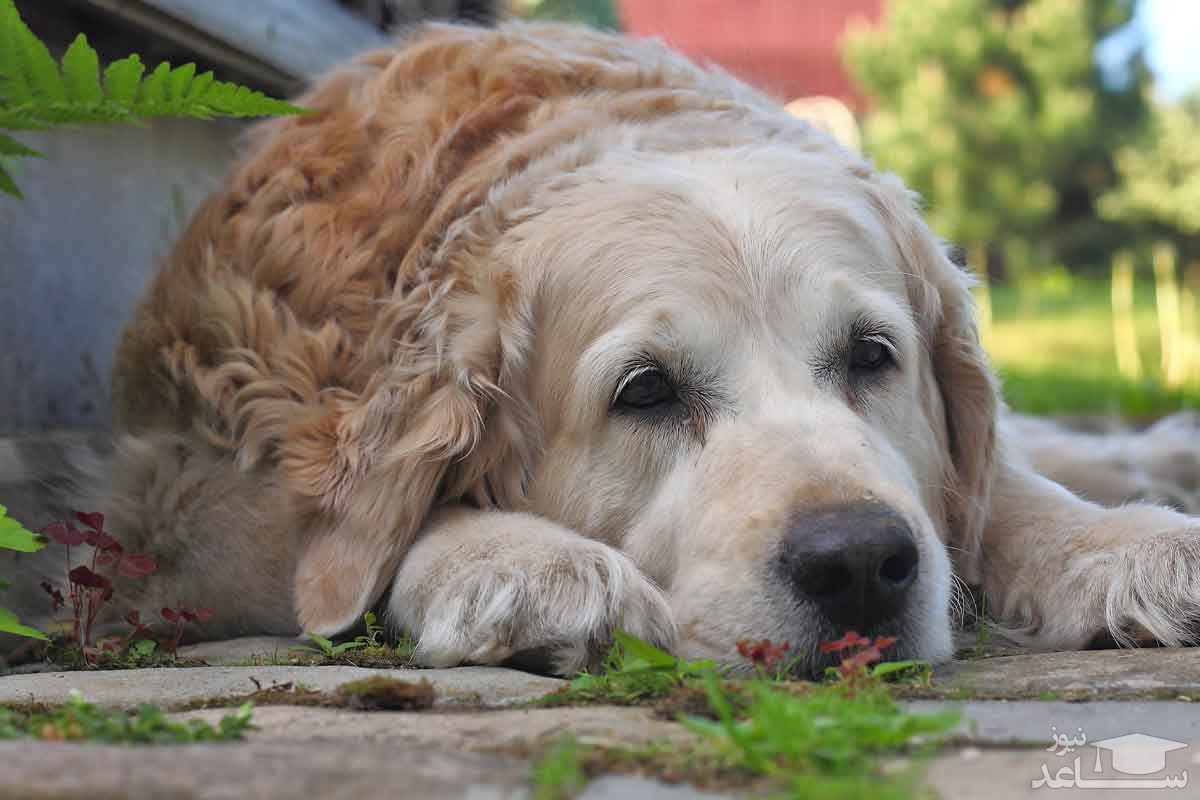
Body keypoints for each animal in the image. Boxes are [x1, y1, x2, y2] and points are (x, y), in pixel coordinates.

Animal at [2, 23, 1200, 676]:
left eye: (872, 357)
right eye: (646, 391)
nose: (861, 561)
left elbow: (1000, 494)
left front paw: (1119, 543)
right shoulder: (172, 492)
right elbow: (352, 538)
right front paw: (516, 562)